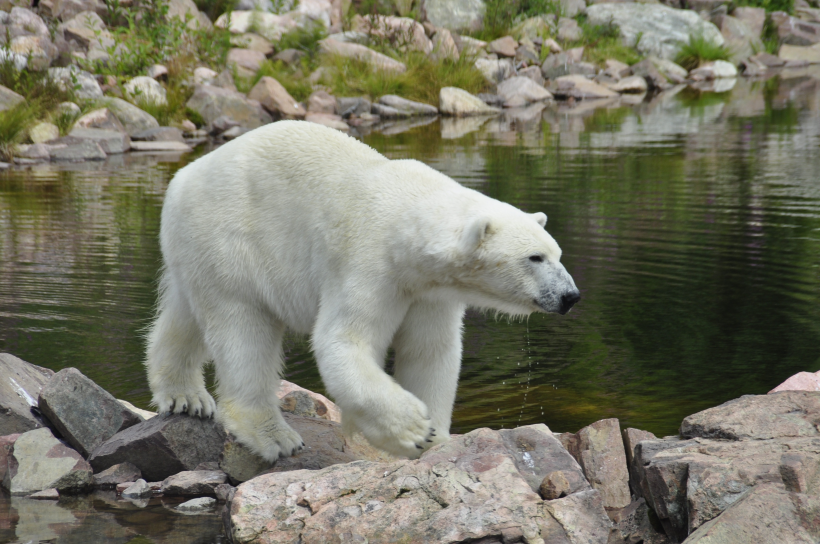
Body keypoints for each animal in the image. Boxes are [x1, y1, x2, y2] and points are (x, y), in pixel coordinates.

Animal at [144, 119, 580, 460]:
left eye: (557, 253)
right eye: (535, 257)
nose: (570, 296)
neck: (407, 224)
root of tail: (181, 179)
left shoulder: (431, 293)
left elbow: (430, 351)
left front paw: (437, 439)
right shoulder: (369, 263)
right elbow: (344, 341)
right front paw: (414, 430)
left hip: (197, 250)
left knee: (186, 315)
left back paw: (184, 397)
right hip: (232, 241)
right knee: (243, 330)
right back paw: (273, 435)